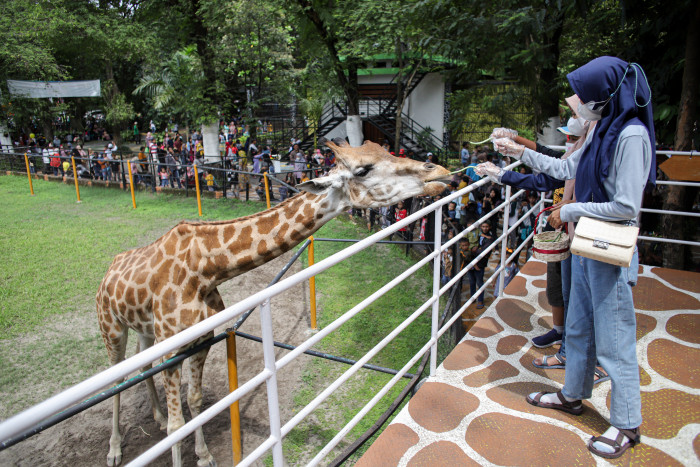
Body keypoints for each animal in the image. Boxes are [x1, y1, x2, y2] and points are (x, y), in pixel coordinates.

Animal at [95, 137, 448, 466]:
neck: (205, 269)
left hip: (145, 330)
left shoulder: (202, 339)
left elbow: (194, 401)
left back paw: (154, 417)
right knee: (117, 378)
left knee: (142, 365)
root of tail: (108, 271)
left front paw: (205, 456)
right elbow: (175, 426)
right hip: (112, 328)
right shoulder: (172, 347)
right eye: (362, 170)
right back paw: (113, 450)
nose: (440, 173)